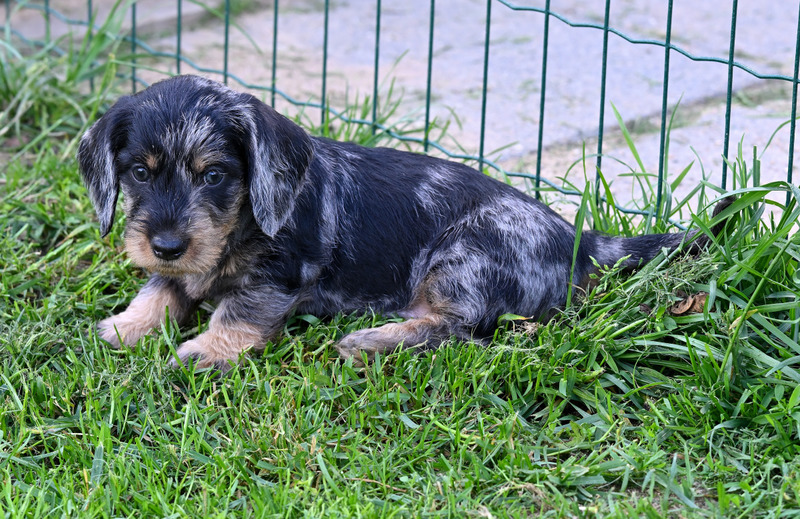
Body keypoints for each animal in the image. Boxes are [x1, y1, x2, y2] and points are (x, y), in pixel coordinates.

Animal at [78, 75, 730, 371]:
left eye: (213, 174)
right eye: (138, 172)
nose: (166, 243)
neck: (237, 227)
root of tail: (579, 238)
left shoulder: (277, 274)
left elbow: (238, 312)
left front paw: (206, 350)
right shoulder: (177, 261)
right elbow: (161, 290)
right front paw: (125, 327)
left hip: (464, 253)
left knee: (459, 329)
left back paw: (370, 340)